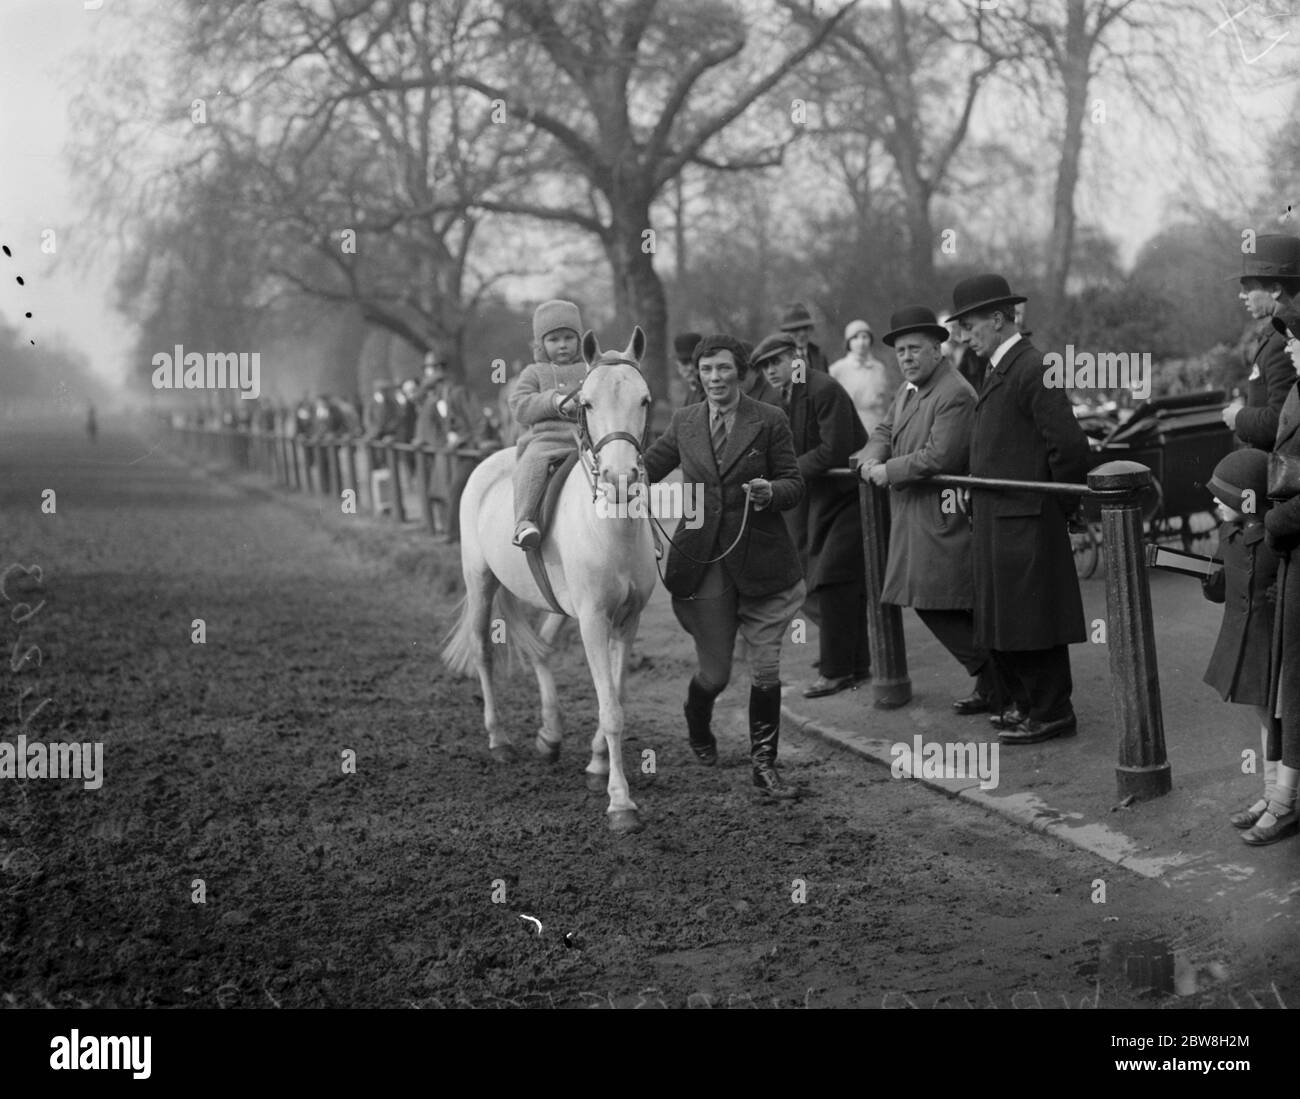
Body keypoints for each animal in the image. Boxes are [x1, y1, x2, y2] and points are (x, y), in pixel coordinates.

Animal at [441, 326, 660, 832]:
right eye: (587, 404)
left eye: (643, 399)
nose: (621, 479)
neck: (611, 527)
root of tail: (490, 462)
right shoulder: (594, 620)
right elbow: (611, 708)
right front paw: (621, 803)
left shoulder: (626, 620)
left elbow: (615, 695)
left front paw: (597, 764)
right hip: (480, 582)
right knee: (483, 651)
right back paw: (500, 741)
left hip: (560, 607)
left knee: (540, 648)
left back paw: (550, 735)